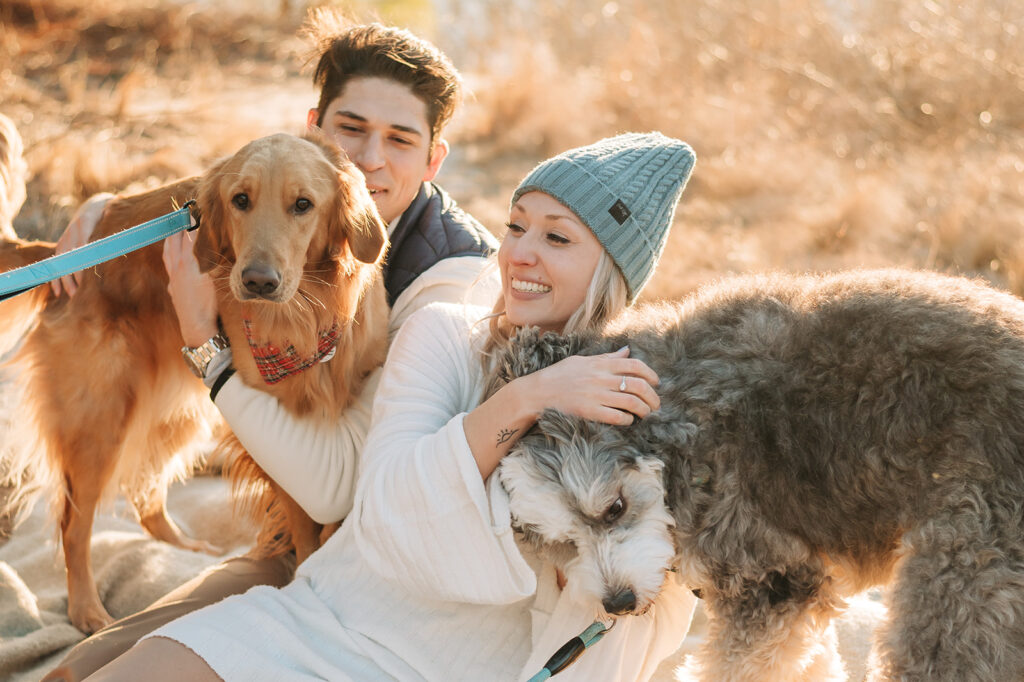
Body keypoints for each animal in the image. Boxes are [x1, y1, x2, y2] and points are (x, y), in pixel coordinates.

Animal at [0, 129, 389, 630]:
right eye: (240, 200)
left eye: (303, 204)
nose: (258, 282)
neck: (304, 317)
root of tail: (58, 256)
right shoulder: (280, 441)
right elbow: (305, 524)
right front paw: (307, 573)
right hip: (100, 417)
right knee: (75, 523)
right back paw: (87, 609)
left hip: (178, 412)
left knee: (144, 491)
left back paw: (182, 547)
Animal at [497, 268, 1024, 675]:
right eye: (565, 542)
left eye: (615, 508)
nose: (619, 603)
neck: (676, 420)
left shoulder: (772, 582)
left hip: (962, 579)